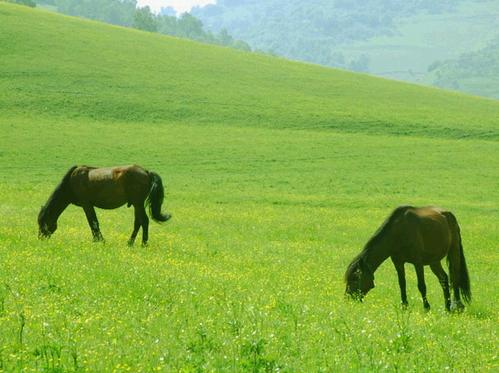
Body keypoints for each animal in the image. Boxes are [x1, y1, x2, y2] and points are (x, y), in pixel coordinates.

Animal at [37, 165, 172, 246]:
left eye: (42, 222)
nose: (40, 238)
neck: (71, 182)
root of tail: (147, 172)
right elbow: (93, 223)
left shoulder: (86, 204)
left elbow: (93, 222)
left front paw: (99, 240)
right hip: (136, 204)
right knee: (138, 222)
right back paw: (130, 242)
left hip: (137, 203)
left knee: (144, 221)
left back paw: (143, 243)